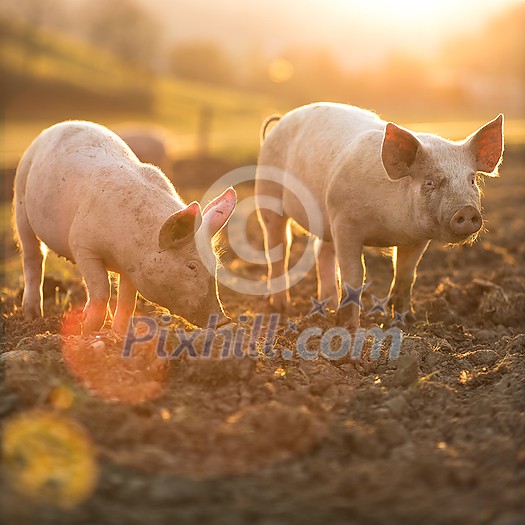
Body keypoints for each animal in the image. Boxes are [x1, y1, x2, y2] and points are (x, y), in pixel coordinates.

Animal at [14, 121, 235, 334]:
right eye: (192, 266)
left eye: (214, 264)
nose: (223, 320)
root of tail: (58, 126)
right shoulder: (82, 246)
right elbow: (102, 290)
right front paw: (87, 331)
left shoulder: (132, 268)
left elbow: (128, 300)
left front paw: (120, 334)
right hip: (21, 202)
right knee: (33, 256)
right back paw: (32, 315)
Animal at [256, 103, 502, 328]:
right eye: (430, 182)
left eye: (472, 180)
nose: (467, 211)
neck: (392, 229)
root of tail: (281, 121)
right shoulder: (344, 222)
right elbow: (355, 274)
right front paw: (350, 328)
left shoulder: (417, 239)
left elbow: (405, 275)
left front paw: (406, 322)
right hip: (268, 197)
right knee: (279, 249)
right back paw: (282, 308)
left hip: (325, 219)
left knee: (322, 253)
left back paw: (328, 308)